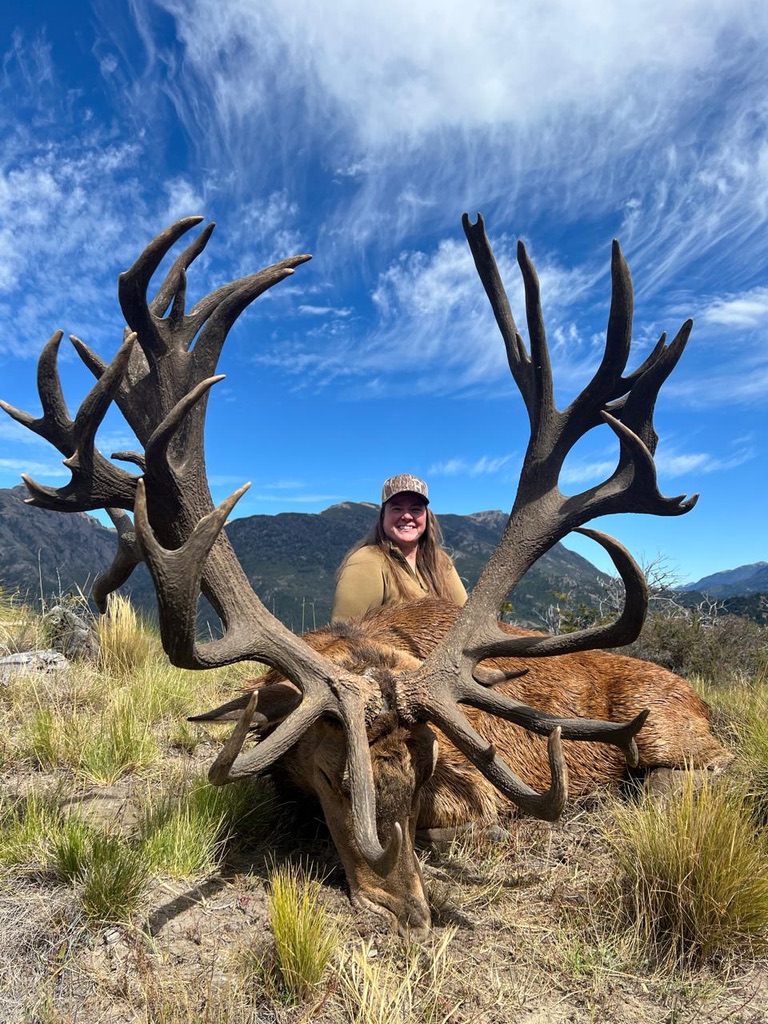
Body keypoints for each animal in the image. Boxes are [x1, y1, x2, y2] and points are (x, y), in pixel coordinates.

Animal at [0, 214, 730, 939]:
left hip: (667, 728)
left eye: (422, 771)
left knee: (698, 768)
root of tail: (696, 694)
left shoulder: (478, 784)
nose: (403, 912)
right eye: (332, 780)